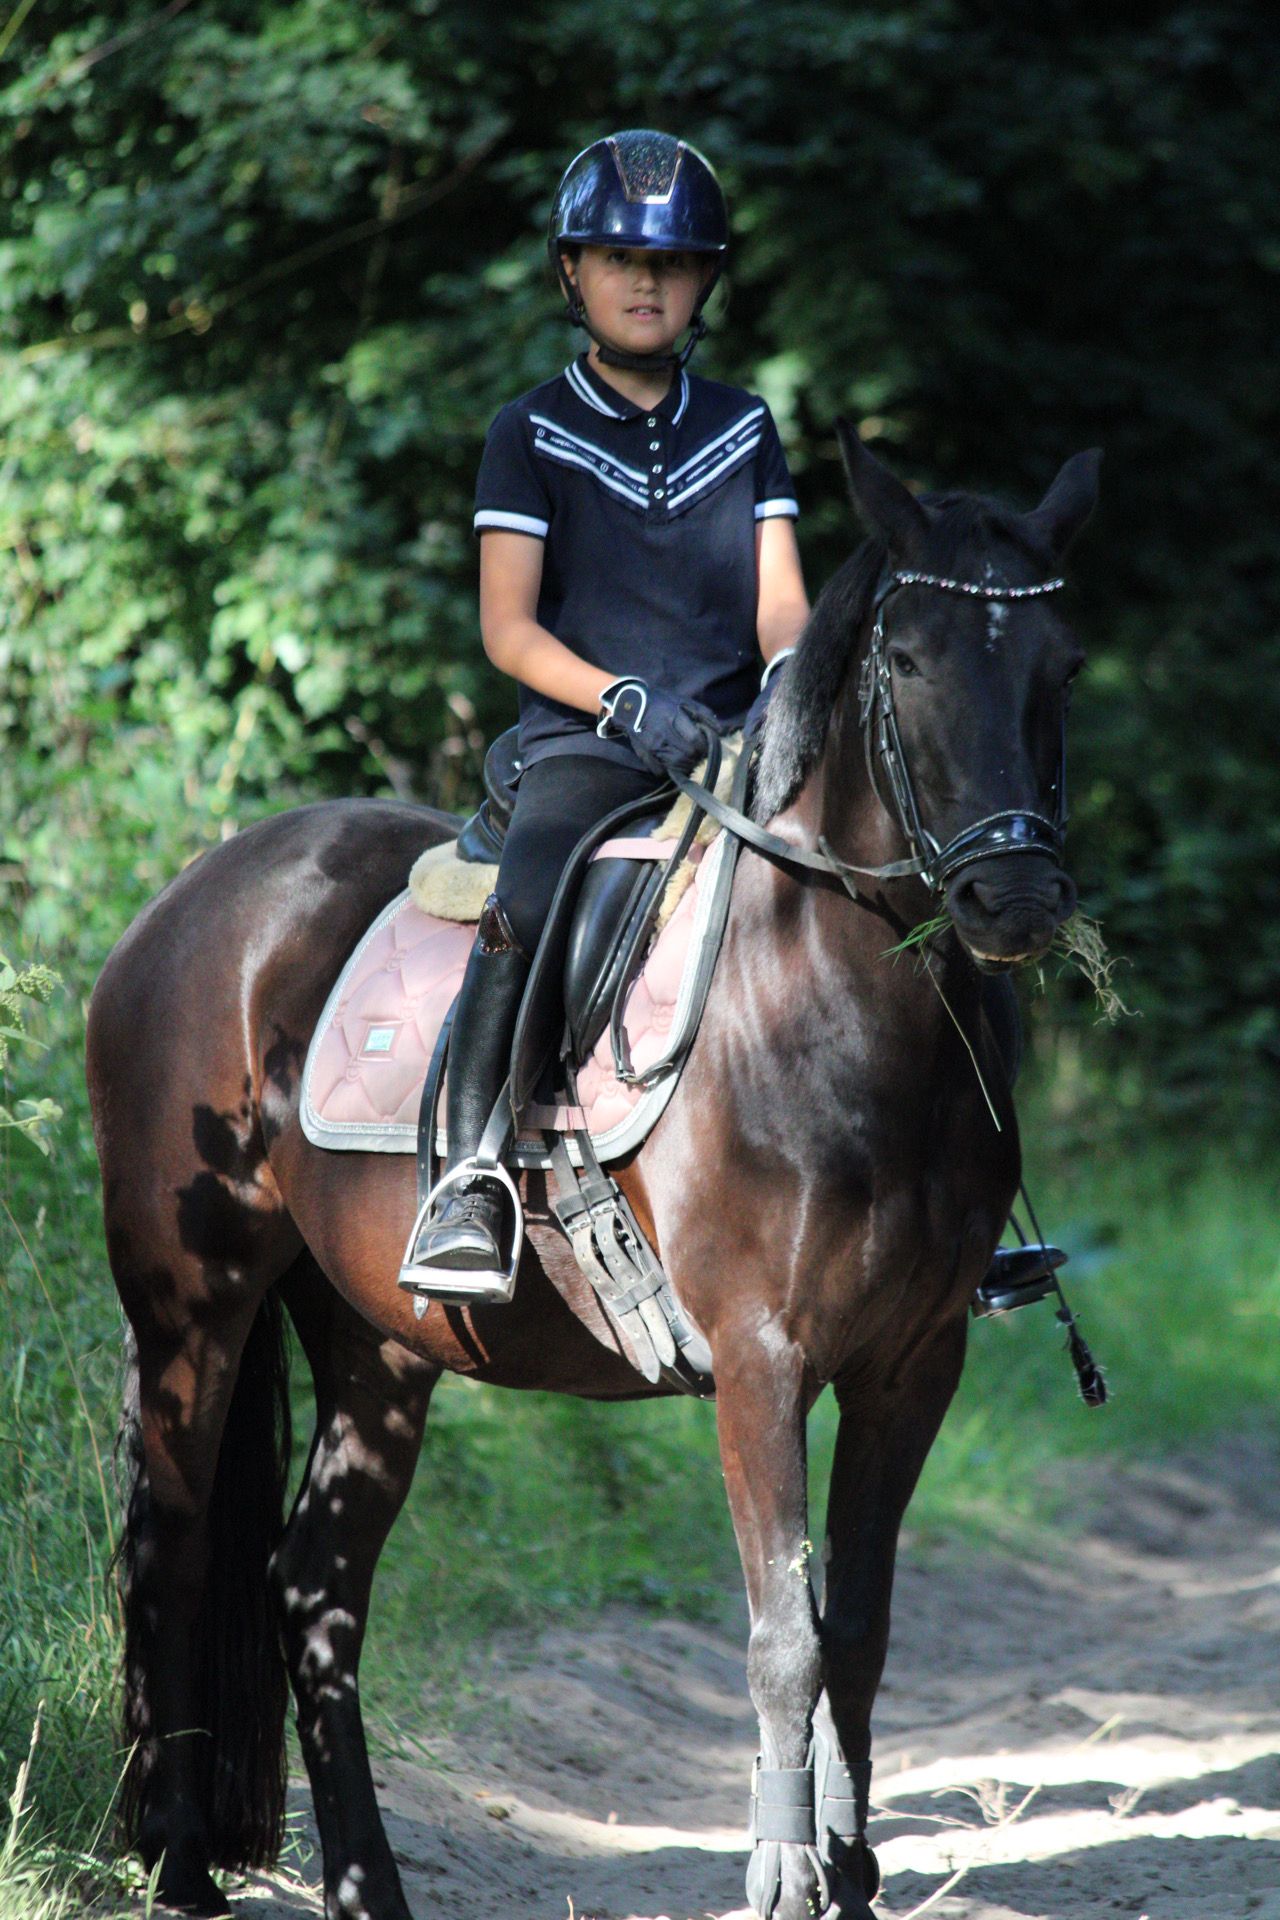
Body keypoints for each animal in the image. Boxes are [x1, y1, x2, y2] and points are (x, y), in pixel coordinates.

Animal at [87, 425, 1098, 1920]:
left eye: (1062, 666)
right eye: (909, 660)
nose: (1011, 901)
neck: (830, 1012)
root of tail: (186, 905)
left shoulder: (912, 1365)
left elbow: (857, 1629)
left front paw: (851, 1873)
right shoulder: (762, 1359)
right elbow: (785, 1635)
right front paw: (784, 1874)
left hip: (377, 1346)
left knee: (312, 1593)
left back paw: (366, 1885)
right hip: (189, 1307)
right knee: (169, 1552)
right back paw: (176, 1869)